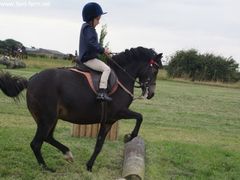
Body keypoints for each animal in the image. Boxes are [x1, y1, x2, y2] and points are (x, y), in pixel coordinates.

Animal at [0, 46, 163, 172]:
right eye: (155, 70)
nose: (151, 94)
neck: (121, 77)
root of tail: (31, 80)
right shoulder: (119, 112)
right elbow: (140, 117)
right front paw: (130, 137)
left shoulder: (109, 120)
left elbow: (99, 144)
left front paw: (89, 166)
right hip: (47, 119)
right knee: (36, 143)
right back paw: (46, 168)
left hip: (51, 119)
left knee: (47, 137)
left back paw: (67, 154)